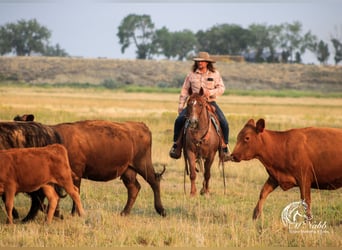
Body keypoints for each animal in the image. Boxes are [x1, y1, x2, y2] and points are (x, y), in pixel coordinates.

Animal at [14, 114, 166, 217]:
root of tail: (140, 125)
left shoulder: (75, 174)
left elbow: (74, 192)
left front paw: (74, 213)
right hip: (128, 170)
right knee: (134, 188)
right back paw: (124, 212)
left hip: (142, 164)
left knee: (154, 181)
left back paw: (161, 210)